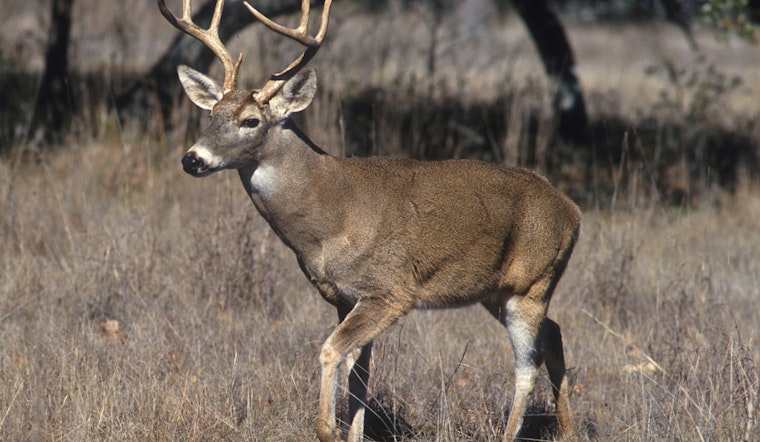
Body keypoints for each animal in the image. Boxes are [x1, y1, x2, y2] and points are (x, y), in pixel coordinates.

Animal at [158, 0, 581, 440]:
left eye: (250, 121)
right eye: (212, 115)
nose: (192, 159)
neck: (330, 218)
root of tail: (572, 209)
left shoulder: (390, 290)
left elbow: (331, 351)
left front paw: (327, 429)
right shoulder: (343, 297)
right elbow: (359, 371)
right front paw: (354, 432)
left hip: (532, 283)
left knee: (527, 365)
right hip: (496, 291)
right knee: (553, 333)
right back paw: (568, 429)